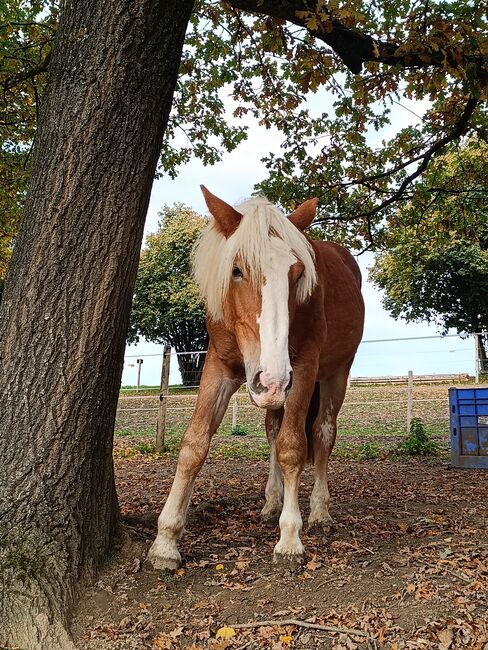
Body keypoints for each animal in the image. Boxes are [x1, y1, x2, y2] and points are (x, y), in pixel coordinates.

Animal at [147, 185, 364, 564]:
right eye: (236, 270)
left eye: (298, 274)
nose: (271, 380)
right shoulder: (218, 367)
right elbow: (194, 445)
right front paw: (166, 540)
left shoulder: (302, 370)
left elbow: (294, 447)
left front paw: (289, 539)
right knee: (273, 431)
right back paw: (272, 503)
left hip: (333, 375)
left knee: (322, 433)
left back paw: (319, 512)